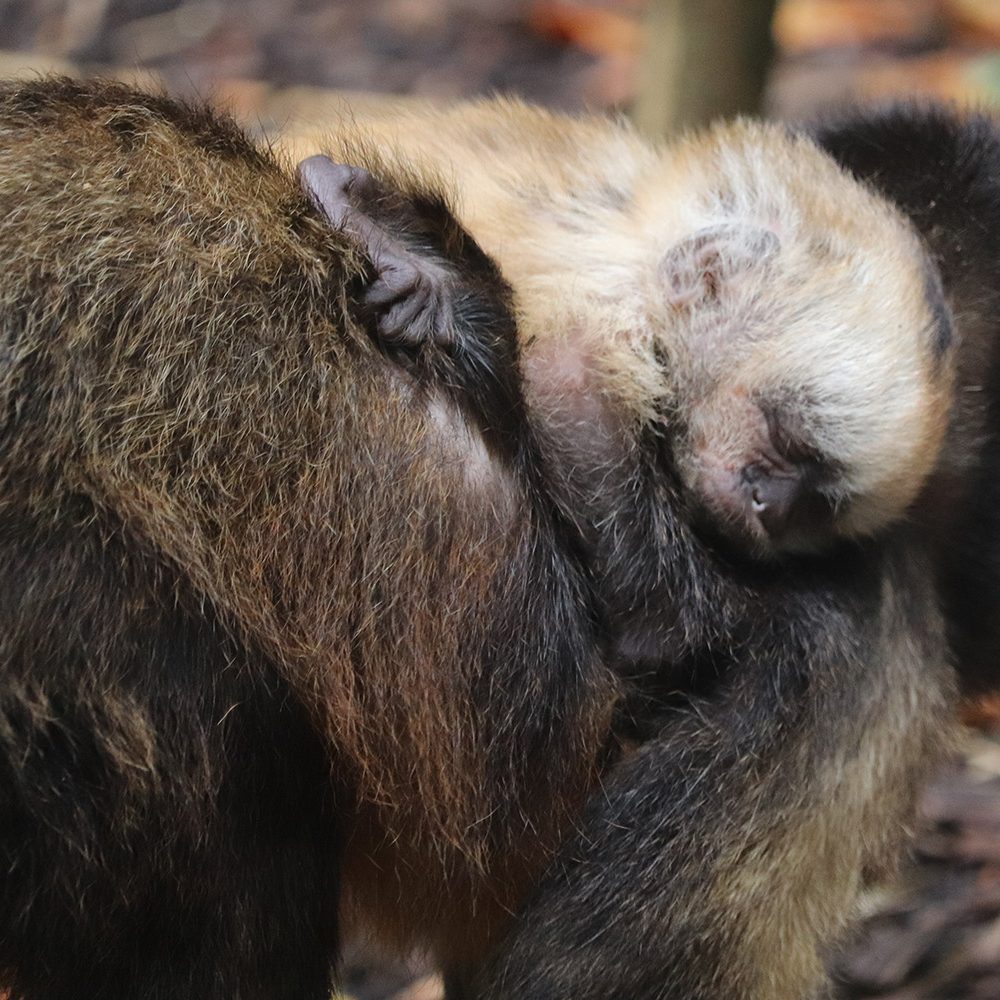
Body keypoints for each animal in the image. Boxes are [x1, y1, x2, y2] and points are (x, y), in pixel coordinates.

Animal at [0, 80, 952, 1000]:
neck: (634, 219)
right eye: (784, 446)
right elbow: (574, 399)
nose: (762, 508)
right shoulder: (612, 306)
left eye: (814, 500)